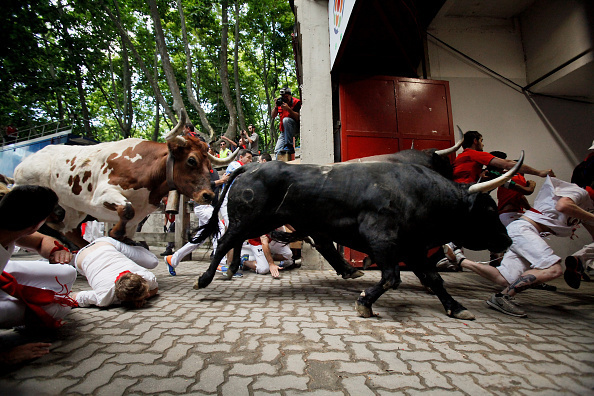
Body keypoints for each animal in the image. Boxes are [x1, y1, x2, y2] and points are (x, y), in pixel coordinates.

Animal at [13, 110, 236, 244]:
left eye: (209, 165)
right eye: (191, 160)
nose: (208, 195)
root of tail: (24, 163)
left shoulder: (139, 215)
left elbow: (128, 223)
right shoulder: (101, 195)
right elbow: (126, 209)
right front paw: (114, 234)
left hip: (74, 210)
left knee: (68, 230)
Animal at [192, 160, 512, 318]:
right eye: (489, 210)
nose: (507, 241)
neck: (414, 192)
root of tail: (251, 167)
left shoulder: (413, 247)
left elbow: (434, 279)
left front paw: (456, 307)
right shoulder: (382, 239)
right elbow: (392, 277)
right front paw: (365, 302)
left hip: (258, 221)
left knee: (234, 241)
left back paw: (231, 270)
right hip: (250, 218)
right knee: (225, 241)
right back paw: (205, 278)